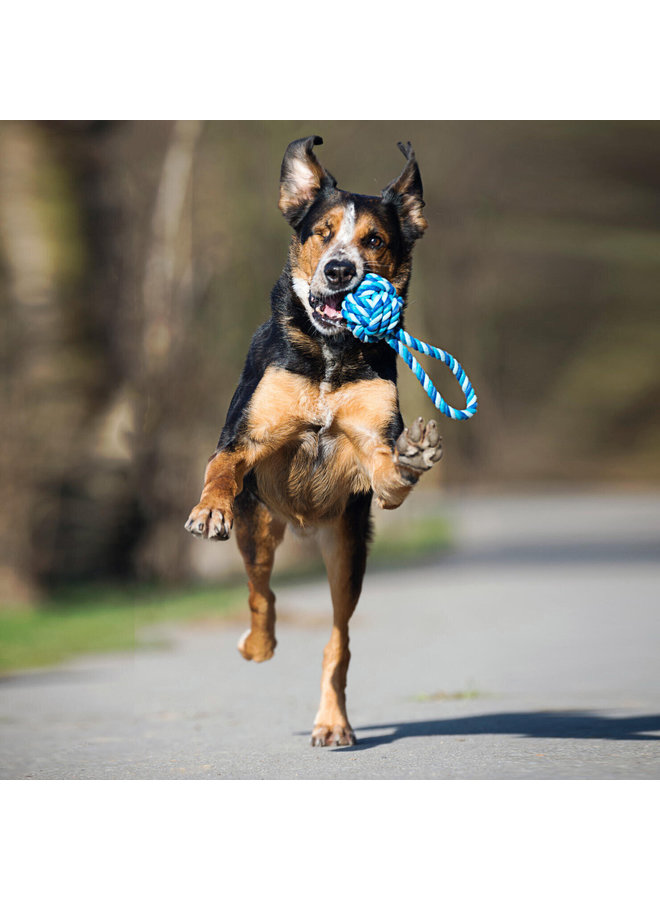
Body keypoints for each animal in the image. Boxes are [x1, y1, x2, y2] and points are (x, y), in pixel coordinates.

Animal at [186, 135, 444, 744]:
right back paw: (256, 645)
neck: (329, 354)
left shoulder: (373, 450)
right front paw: (208, 510)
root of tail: (300, 525)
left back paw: (333, 722)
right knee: (261, 595)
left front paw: (414, 455)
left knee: (339, 640)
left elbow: (390, 474)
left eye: (373, 239)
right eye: (322, 231)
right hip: (257, 528)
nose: (340, 270)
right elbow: (222, 464)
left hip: (346, 550)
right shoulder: (245, 435)